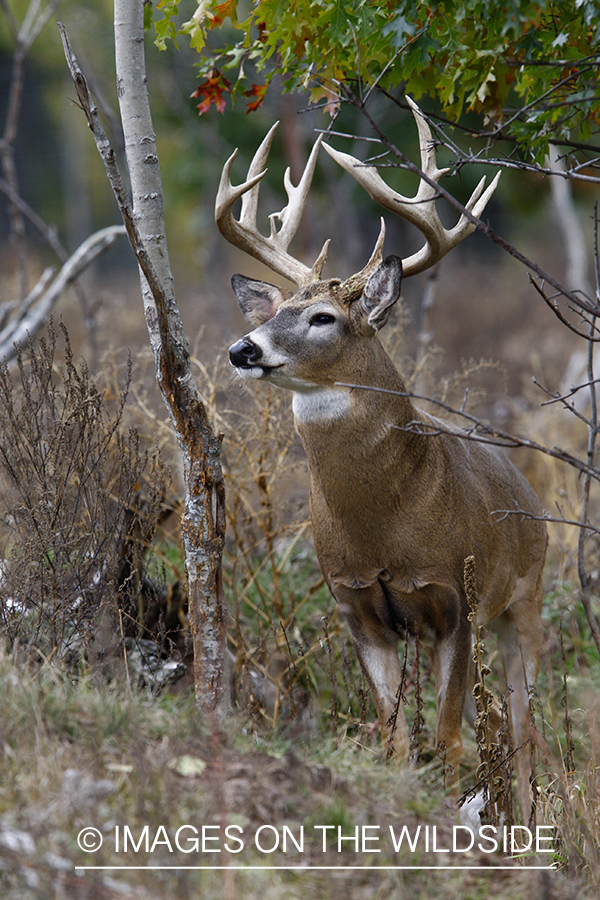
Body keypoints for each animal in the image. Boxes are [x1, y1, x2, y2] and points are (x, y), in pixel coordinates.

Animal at [217, 100, 548, 816]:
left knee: (524, 728)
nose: (242, 349)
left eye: (322, 318)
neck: (384, 526)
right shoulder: (356, 605)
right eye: (277, 309)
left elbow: (448, 740)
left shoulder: (456, 598)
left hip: (526, 599)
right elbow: (396, 738)